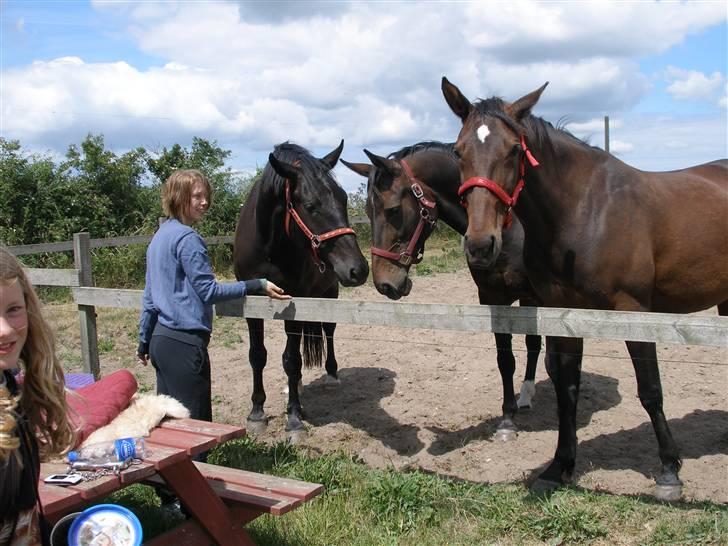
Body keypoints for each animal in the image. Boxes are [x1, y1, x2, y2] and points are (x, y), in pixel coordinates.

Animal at [235, 140, 370, 434]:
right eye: (310, 206)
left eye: (343, 198)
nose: (359, 269)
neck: (269, 247)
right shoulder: (251, 303)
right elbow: (257, 355)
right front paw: (257, 412)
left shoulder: (296, 303)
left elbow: (292, 359)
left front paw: (294, 417)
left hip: (329, 294)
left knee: (328, 332)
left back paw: (331, 375)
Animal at [342, 140, 540, 438]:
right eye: (366, 212)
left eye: (393, 210)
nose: (384, 283)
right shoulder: (492, 297)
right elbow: (505, 360)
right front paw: (507, 418)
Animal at [444, 74, 728, 500]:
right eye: (458, 151)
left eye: (514, 150)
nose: (480, 245)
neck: (585, 211)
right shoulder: (563, 314)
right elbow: (568, 390)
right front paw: (559, 466)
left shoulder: (634, 312)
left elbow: (650, 390)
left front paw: (668, 471)